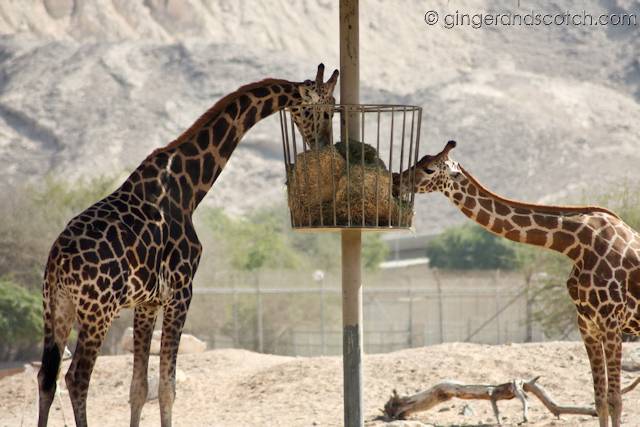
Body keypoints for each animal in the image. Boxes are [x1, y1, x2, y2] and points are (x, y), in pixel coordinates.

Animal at [37, 64, 339, 427]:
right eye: (327, 110)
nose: (324, 144)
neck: (191, 188)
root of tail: (57, 261)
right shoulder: (181, 290)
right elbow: (167, 387)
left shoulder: (148, 301)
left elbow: (139, 388)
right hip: (98, 309)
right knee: (77, 377)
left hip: (57, 308)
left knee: (47, 378)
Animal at [393, 141, 640, 427]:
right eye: (419, 161)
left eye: (429, 168)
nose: (396, 181)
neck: (576, 245)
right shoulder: (587, 324)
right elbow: (600, 400)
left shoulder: (611, 322)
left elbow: (615, 400)